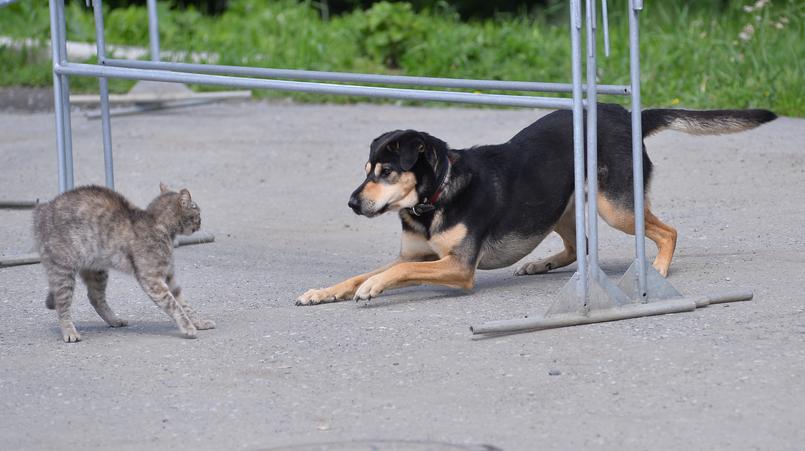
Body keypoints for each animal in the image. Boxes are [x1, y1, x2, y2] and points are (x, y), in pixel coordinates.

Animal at [32, 184, 214, 342]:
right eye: (197, 212)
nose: (201, 222)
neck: (158, 224)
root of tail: (42, 210)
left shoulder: (169, 276)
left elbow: (185, 304)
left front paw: (199, 321)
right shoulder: (153, 280)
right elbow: (174, 305)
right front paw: (188, 327)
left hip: (97, 270)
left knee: (94, 297)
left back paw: (114, 320)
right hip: (63, 272)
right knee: (63, 305)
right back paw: (69, 331)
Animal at [296, 104, 772, 306]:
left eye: (387, 172)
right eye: (366, 169)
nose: (352, 203)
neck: (433, 199)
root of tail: (626, 113)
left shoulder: (459, 267)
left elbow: (393, 273)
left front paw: (372, 288)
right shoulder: (415, 254)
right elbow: (364, 272)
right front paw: (324, 292)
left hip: (612, 207)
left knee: (667, 232)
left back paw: (656, 269)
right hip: (556, 206)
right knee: (577, 245)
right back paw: (540, 264)